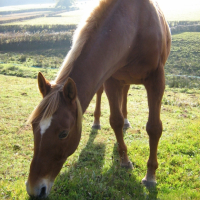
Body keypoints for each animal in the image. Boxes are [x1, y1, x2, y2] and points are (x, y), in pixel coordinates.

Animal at [25, 0, 171, 197]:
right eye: (33, 126)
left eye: (63, 133)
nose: (34, 190)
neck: (135, 26)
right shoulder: (111, 79)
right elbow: (115, 121)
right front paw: (124, 160)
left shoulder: (156, 80)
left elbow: (154, 128)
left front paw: (150, 176)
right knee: (107, 95)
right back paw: (98, 122)